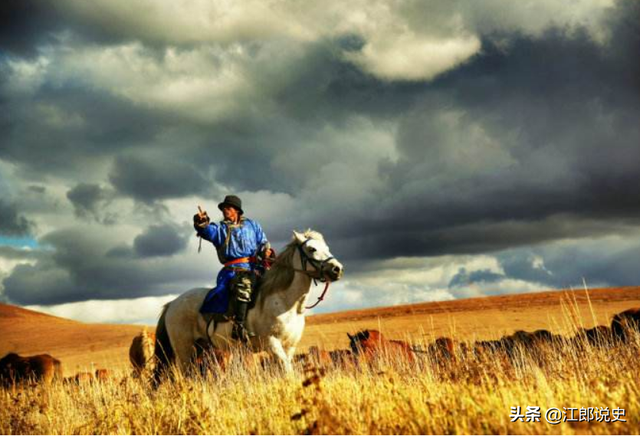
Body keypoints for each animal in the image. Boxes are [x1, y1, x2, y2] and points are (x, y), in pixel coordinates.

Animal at [153, 228, 342, 378]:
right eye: (312, 249)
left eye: (327, 248)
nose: (337, 269)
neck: (286, 303)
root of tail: (172, 303)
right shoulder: (272, 343)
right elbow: (286, 371)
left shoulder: (289, 347)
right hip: (185, 351)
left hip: (202, 349)